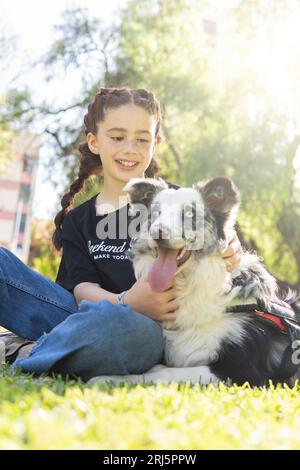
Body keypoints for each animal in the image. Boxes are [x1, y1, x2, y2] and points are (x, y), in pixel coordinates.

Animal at [91, 176, 300, 386]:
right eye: (156, 214)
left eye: (189, 215)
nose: (158, 232)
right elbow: (157, 369)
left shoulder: (244, 373)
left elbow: (164, 373)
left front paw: (107, 378)